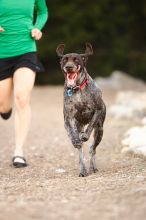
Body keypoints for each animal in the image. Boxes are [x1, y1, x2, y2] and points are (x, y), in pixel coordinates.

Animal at [56, 43, 106, 177]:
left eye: (76, 60)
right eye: (64, 60)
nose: (69, 67)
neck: (77, 89)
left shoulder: (98, 110)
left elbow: (91, 125)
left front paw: (85, 135)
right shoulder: (68, 119)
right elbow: (72, 134)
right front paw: (75, 140)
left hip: (100, 131)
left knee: (92, 149)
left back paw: (92, 167)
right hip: (79, 126)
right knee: (81, 153)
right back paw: (83, 169)